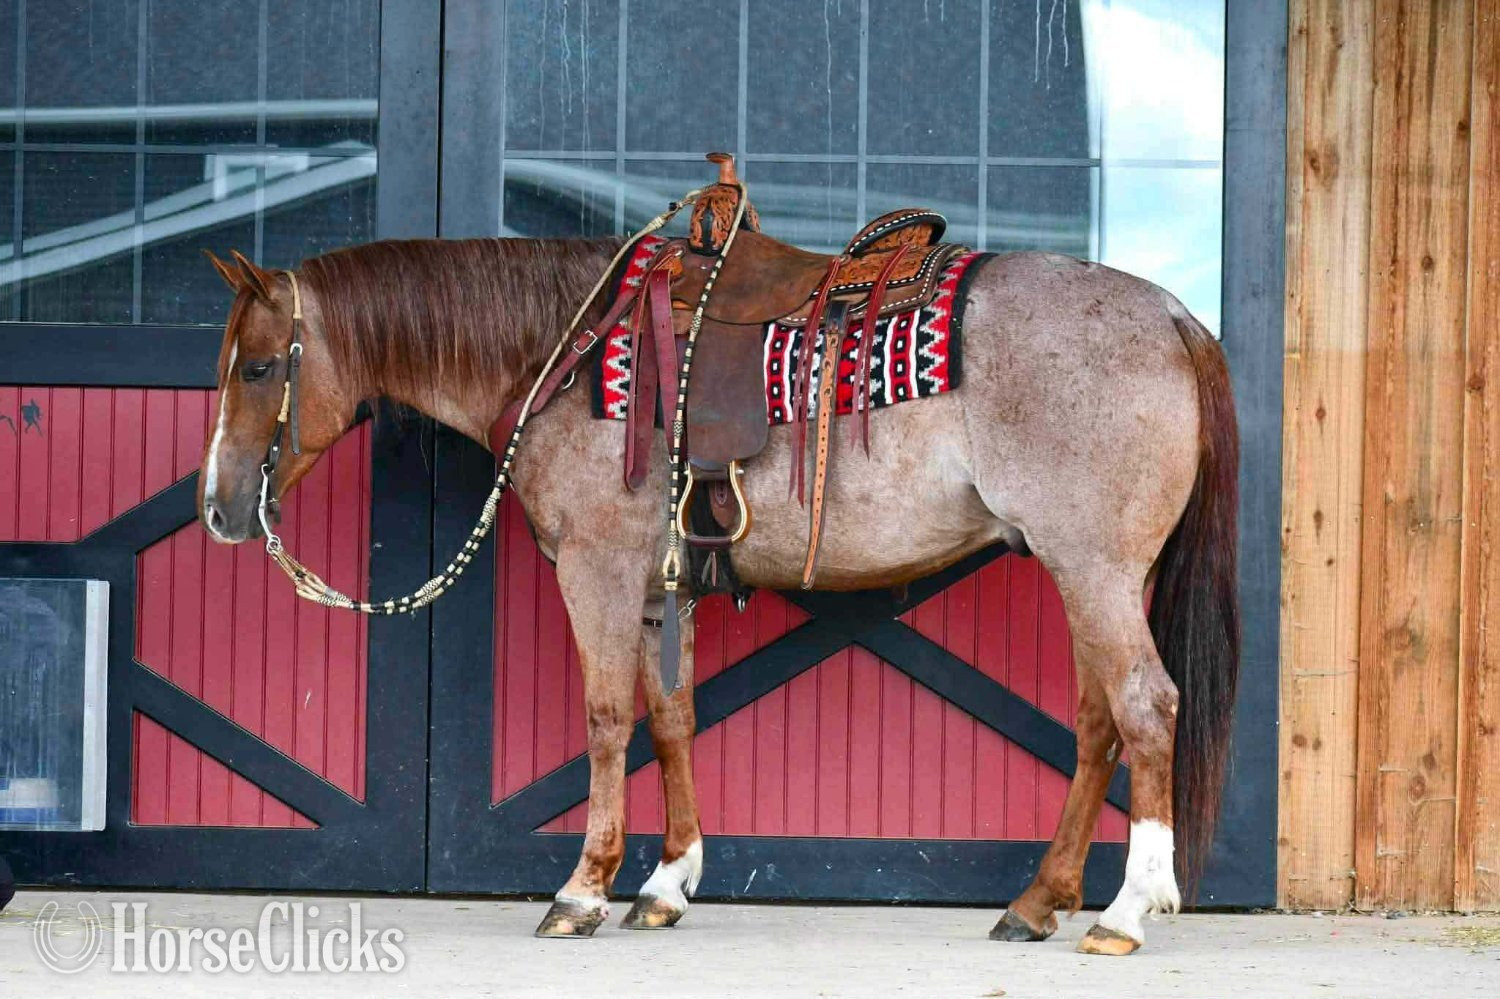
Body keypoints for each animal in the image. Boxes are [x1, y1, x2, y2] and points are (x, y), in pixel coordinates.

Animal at [198, 233, 1237, 956]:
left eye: (259, 366)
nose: (215, 508)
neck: (566, 355)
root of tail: (1171, 316)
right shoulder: (663, 587)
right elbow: (671, 716)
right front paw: (667, 882)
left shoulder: (598, 568)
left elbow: (607, 716)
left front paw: (583, 890)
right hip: (1095, 574)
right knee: (1099, 722)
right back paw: (1037, 901)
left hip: (1094, 568)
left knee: (1147, 706)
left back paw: (1126, 910)